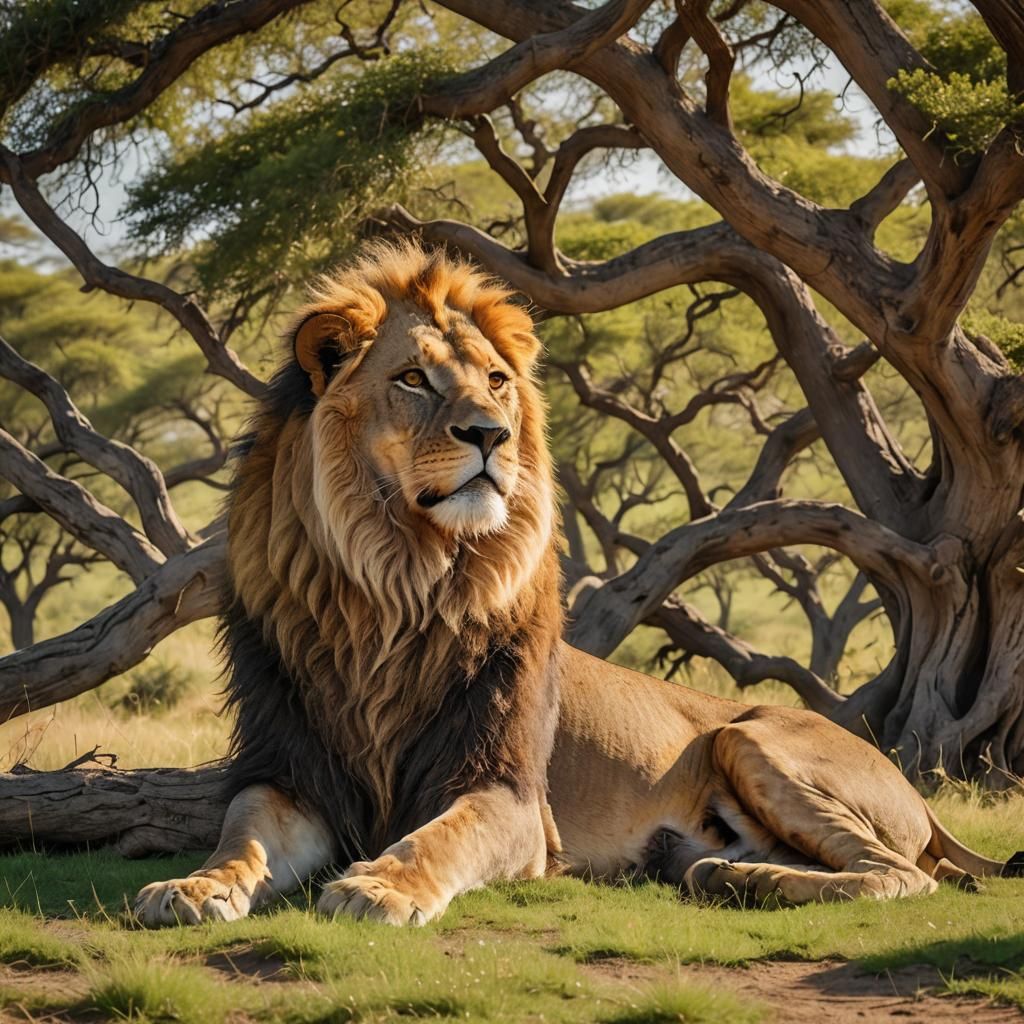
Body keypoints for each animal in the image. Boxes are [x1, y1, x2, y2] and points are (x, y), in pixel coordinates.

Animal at [135, 240, 1022, 927]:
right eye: (413, 379)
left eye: (496, 381)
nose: (490, 435)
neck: (398, 587)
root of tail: (922, 799)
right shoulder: (291, 772)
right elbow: (240, 838)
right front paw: (191, 887)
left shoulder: (509, 793)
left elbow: (437, 836)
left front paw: (380, 887)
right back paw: (724, 874)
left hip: (748, 737)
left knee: (901, 876)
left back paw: (747, 879)